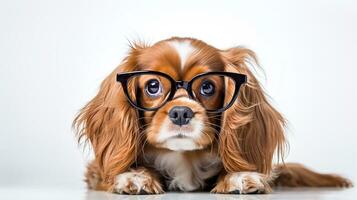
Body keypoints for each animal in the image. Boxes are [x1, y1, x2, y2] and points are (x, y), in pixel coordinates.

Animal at [73, 37, 350, 194]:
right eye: (153, 85)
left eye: (207, 87)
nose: (181, 112)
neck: (185, 159)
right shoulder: (97, 170)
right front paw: (134, 176)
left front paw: (238, 176)